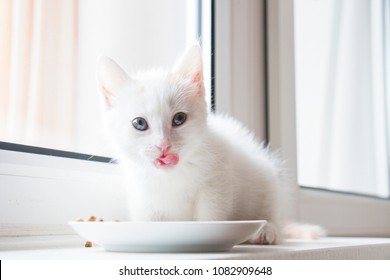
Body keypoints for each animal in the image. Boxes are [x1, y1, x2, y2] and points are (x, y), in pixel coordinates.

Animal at [96, 44, 318, 244]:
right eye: (139, 123)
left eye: (179, 119)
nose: (163, 146)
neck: (171, 176)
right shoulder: (142, 194)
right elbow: (148, 218)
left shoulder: (217, 181)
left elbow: (211, 215)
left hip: (267, 179)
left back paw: (266, 230)